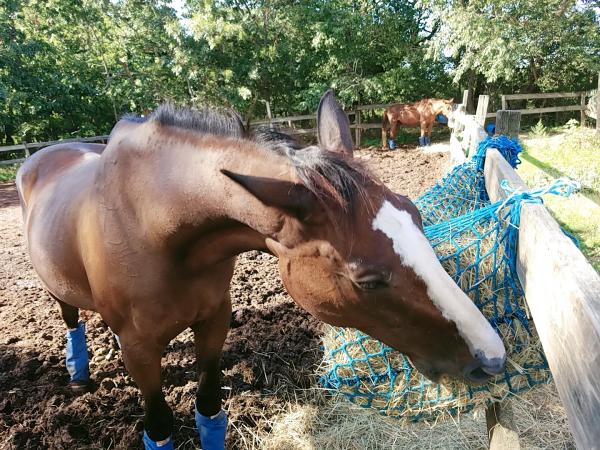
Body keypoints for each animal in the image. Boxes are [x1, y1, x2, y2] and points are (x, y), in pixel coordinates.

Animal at [17, 89, 502, 448]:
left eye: (415, 216)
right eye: (367, 279)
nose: (492, 359)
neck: (155, 225)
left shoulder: (214, 320)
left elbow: (210, 410)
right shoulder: (137, 349)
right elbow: (160, 430)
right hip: (59, 291)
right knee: (70, 318)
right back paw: (79, 374)